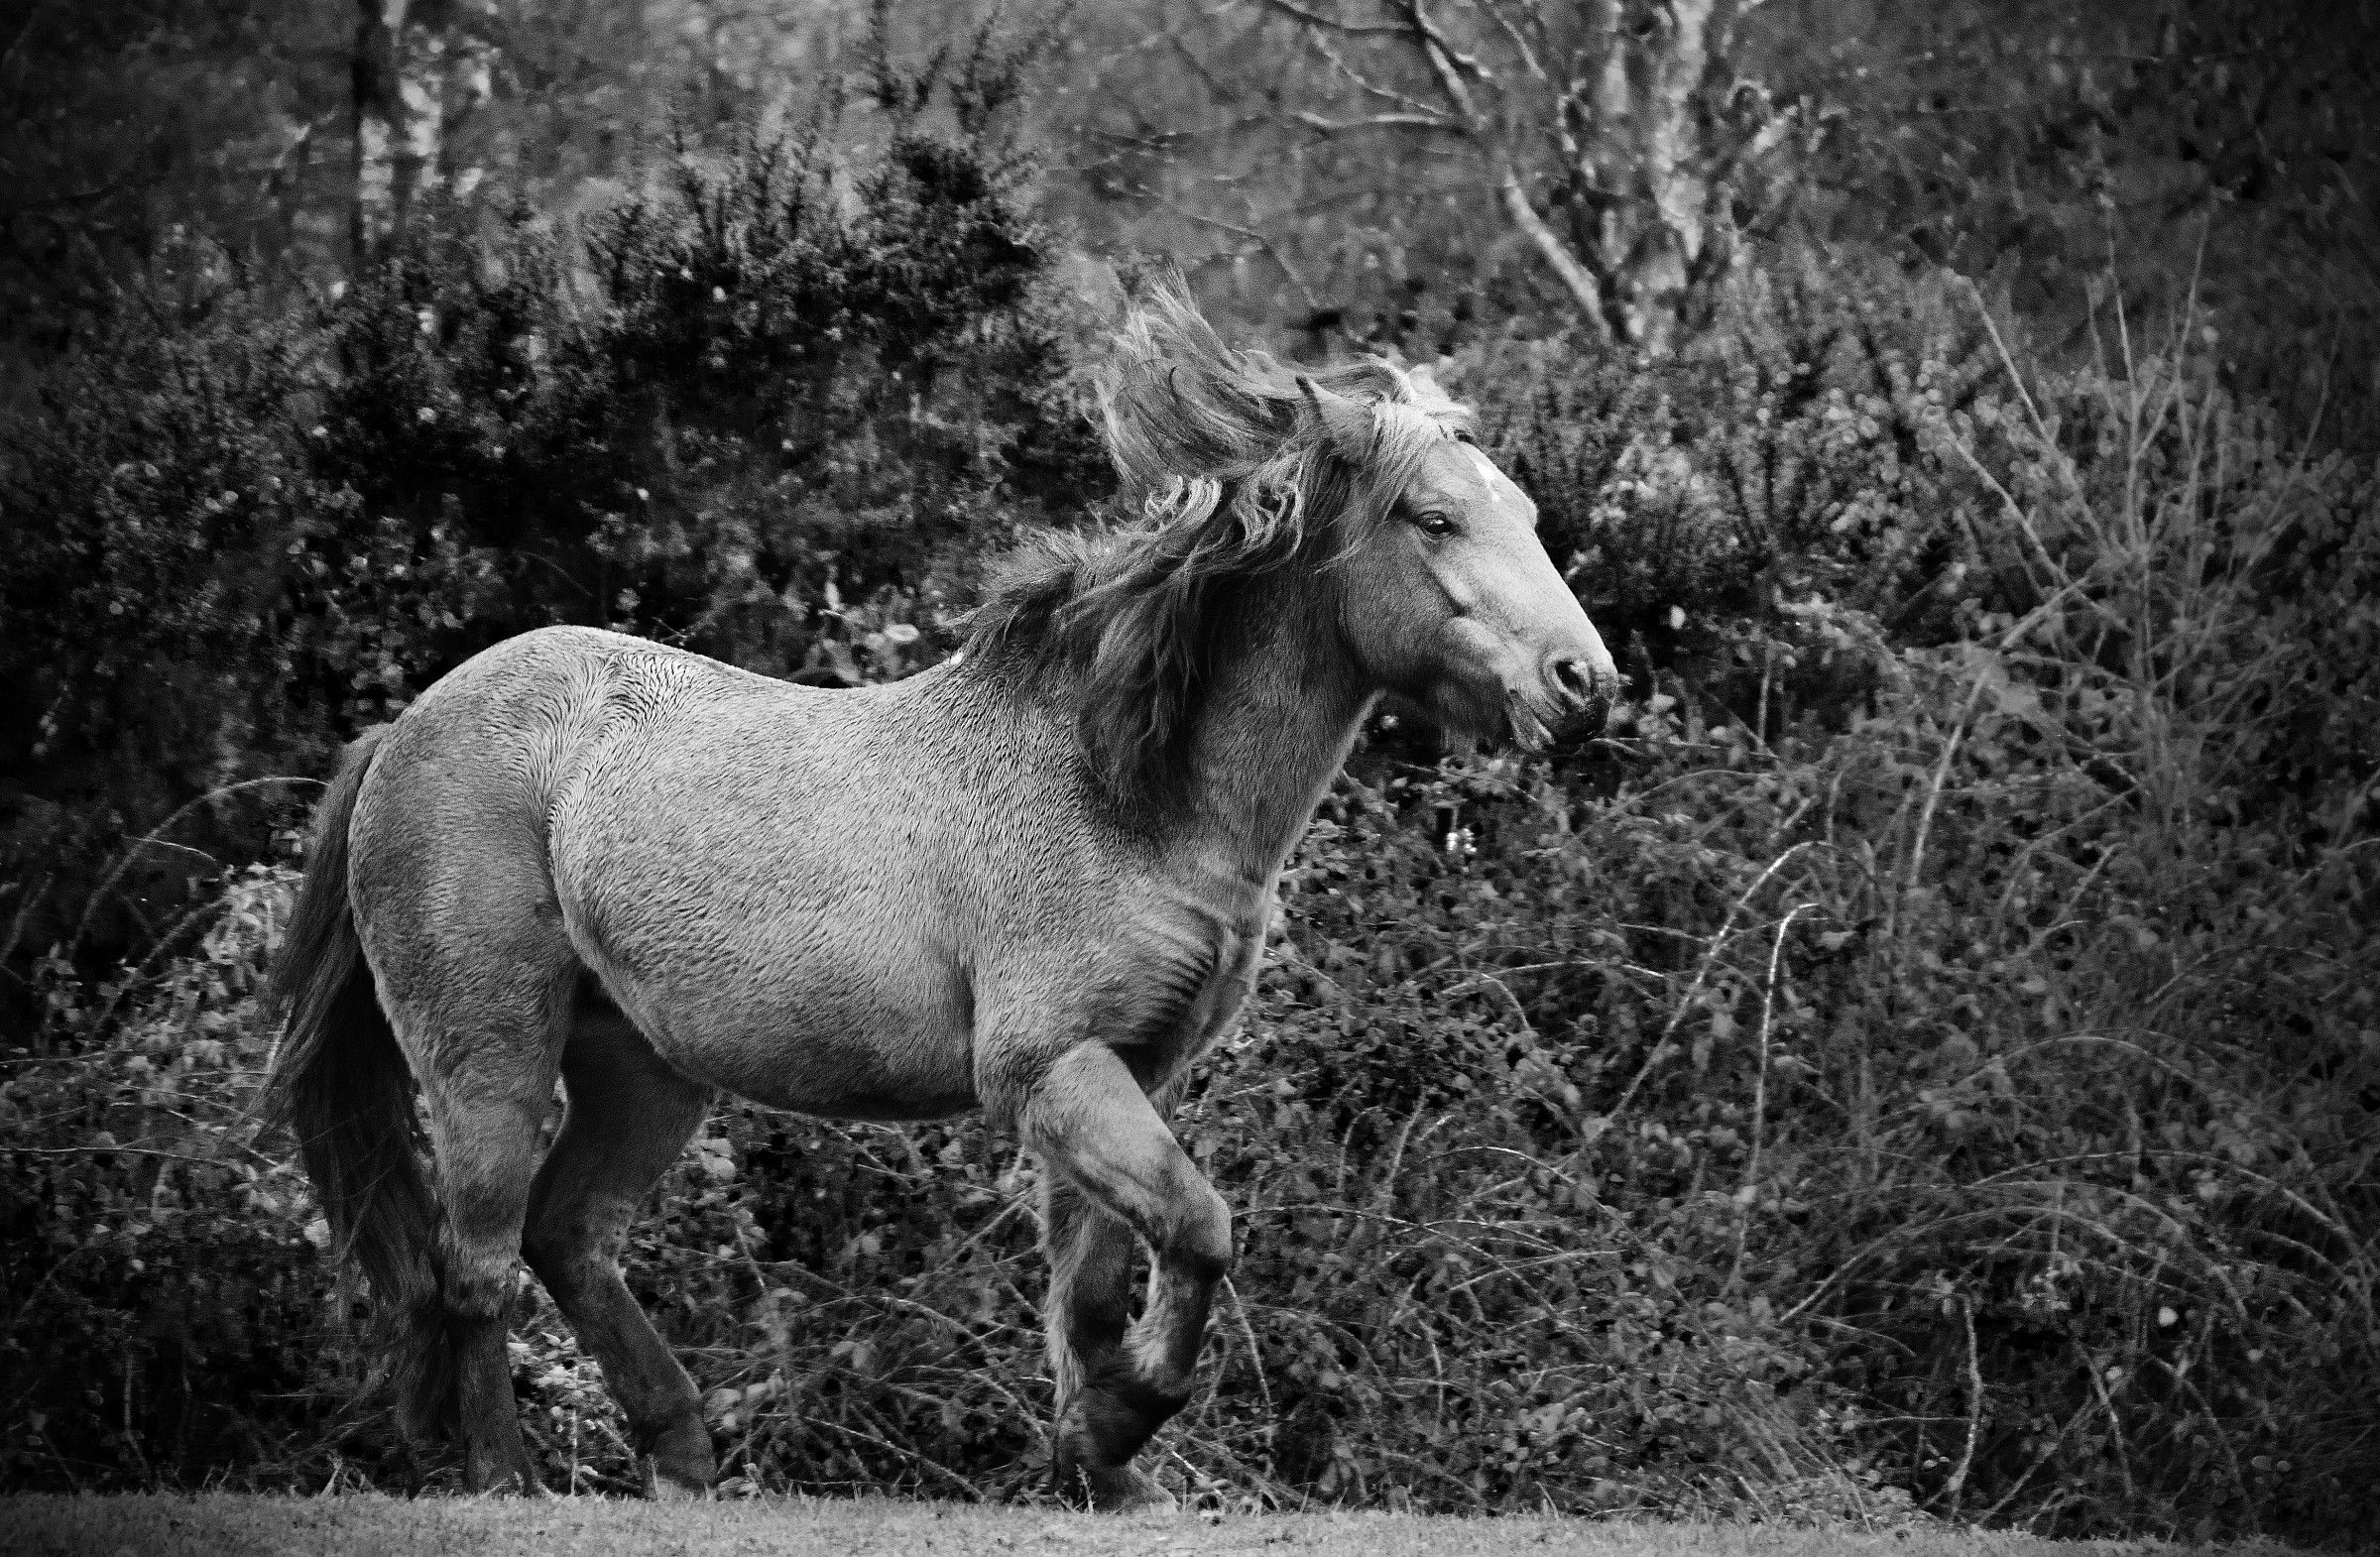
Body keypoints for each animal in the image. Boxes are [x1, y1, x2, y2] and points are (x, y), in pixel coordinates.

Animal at [262, 282, 1617, 1510]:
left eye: (1525, 510)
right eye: (1435, 517)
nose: (1586, 682)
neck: (1123, 789)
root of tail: (402, 730)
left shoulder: (1129, 1067)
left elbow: (1094, 1286)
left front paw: (1106, 1467)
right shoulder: (1048, 1068)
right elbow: (1197, 1229)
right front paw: (1125, 1420)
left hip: (644, 1068)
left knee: (569, 1236)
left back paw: (685, 1460)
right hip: (490, 1056)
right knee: (476, 1264)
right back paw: (504, 1477)